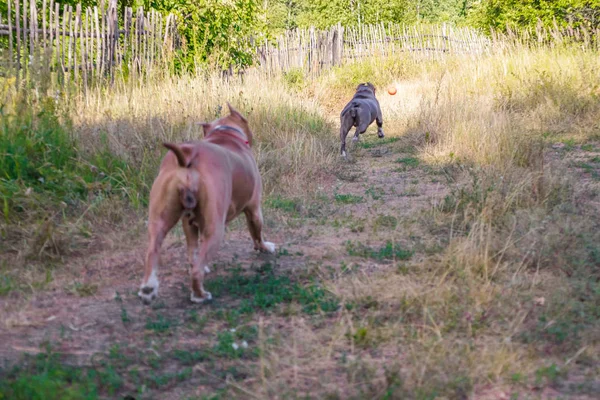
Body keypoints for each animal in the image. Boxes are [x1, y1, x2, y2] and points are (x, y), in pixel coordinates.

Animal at [138, 103, 274, 304]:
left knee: (153, 251)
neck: (225, 134)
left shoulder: (189, 223)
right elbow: (257, 233)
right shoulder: (254, 209)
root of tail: (187, 158)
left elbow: (193, 250)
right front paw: (264, 248)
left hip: (159, 221)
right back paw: (199, 294)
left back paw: (148, 288)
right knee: (196, 271)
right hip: (216, 229)